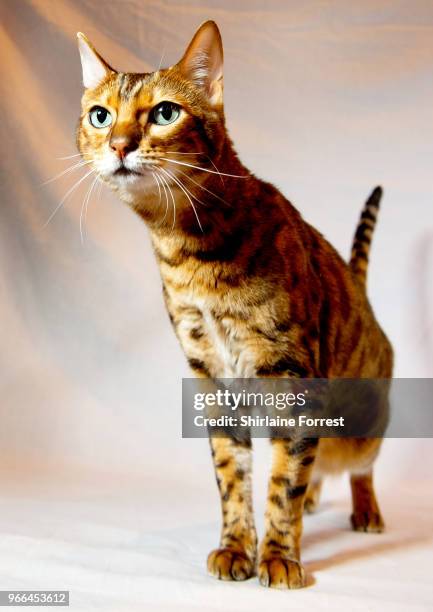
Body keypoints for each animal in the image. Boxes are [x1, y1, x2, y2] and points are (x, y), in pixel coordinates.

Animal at [77, 21, 392, 592]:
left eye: (165, 113)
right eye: (100, 115)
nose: (118, 144)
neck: (191, 255)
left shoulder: (293, 374)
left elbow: (283, 483)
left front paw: (280, 556)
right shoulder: (211, 376)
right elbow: (234, 475)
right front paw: (236, 547)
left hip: (362, 418)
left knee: (357, 463)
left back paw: (364, 508)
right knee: (316, 464)